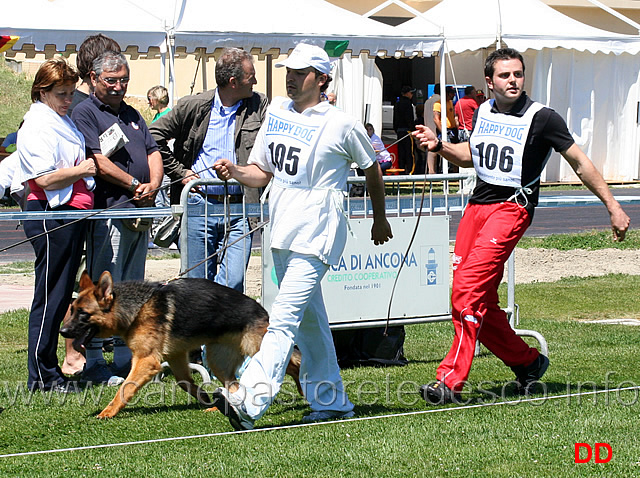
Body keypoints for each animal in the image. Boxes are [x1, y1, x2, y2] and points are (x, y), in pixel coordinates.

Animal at [61, 272, 302, 418]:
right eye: (72, 310)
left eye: (84, 314)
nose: (62, 332)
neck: (136, 309)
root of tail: (261, 309)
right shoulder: (175, 356)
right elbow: (184, 383)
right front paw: (205, 398)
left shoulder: (146, 361)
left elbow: (125, 387)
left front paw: (108, 412)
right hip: (217, 361)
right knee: (234, 384)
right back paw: (226, 407)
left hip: (257, 348)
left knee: (294, 364)